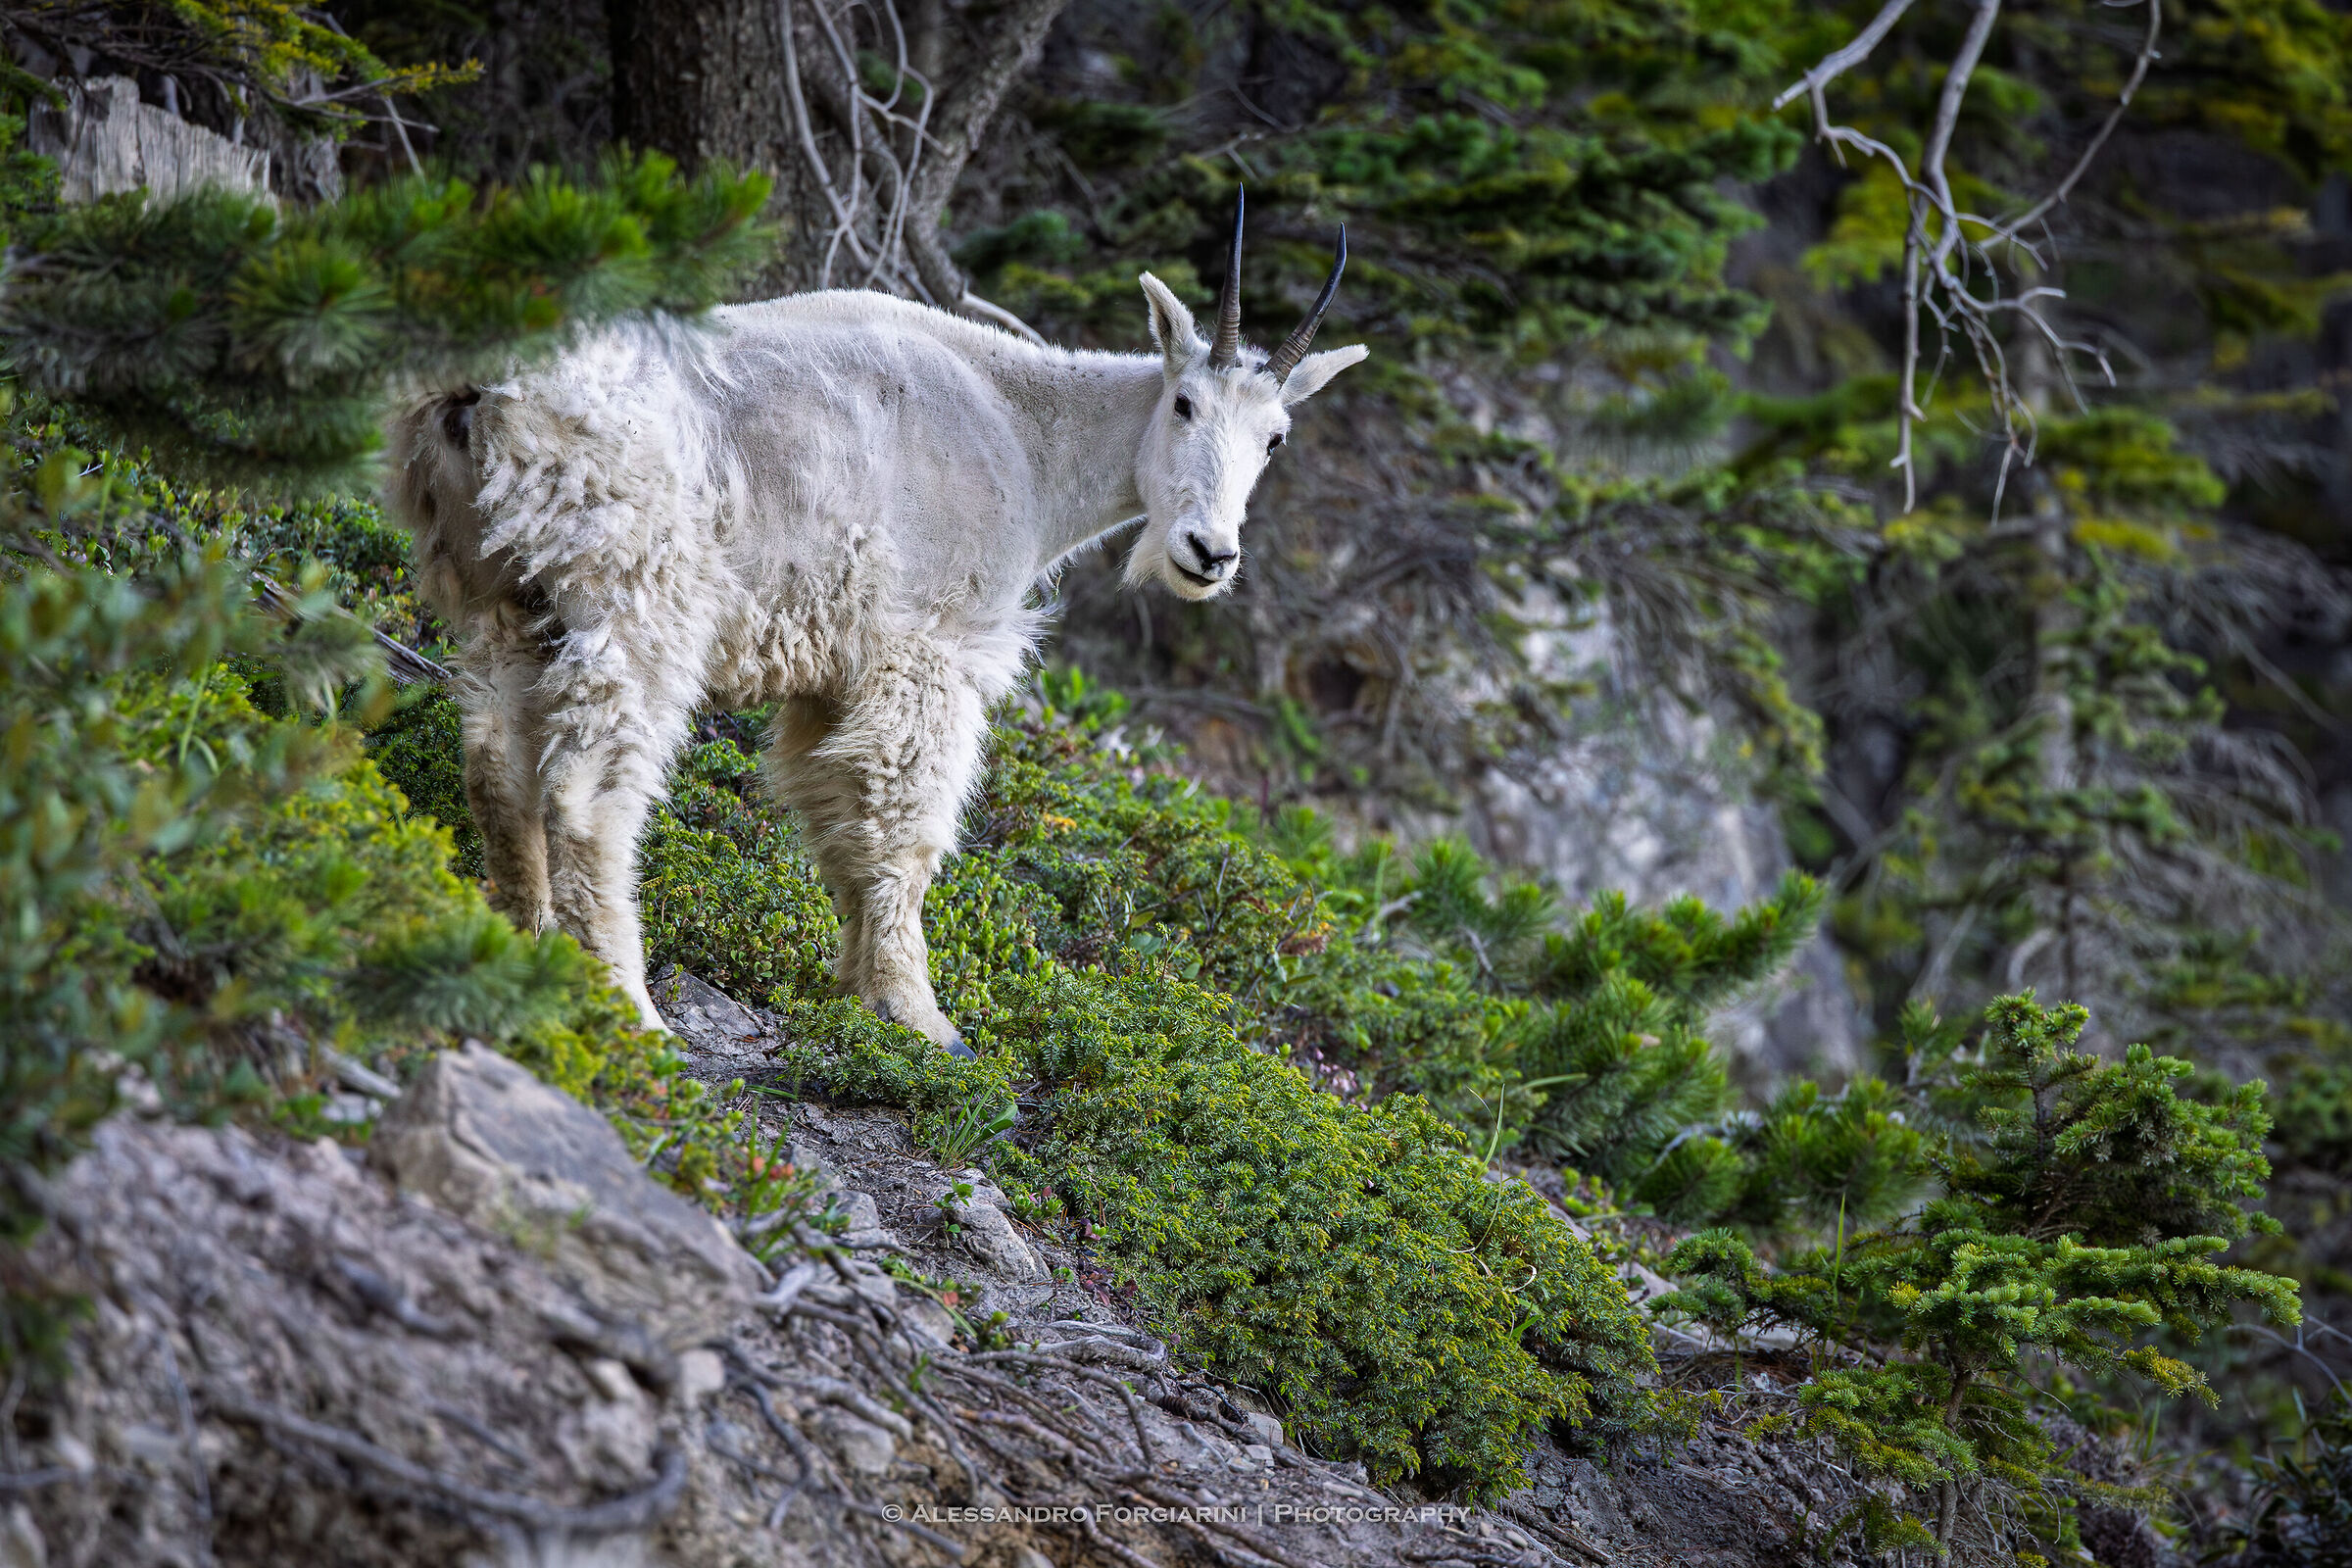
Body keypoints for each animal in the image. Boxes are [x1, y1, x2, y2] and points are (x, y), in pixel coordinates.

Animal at [386, 197, 1364, 1050]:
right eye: (1185, 404)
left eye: (1276, 437)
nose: (1210, 552)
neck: (1028, 438)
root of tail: (486, 396)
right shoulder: (929, 648)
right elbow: (905, 825)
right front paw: (919, 1015)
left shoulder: (833, 670)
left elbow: (839, 817)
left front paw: (856, 989)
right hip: (637, 603)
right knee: (590, 795)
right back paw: (630, 1009)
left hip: (507, 594)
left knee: (493, 762)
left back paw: (520, 944)